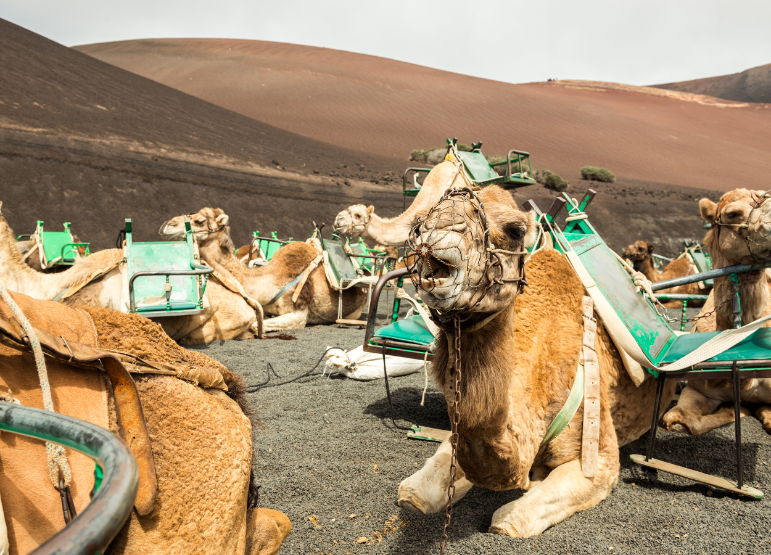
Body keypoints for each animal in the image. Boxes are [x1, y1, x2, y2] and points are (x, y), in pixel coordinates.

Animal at [159, 208, 367, 331]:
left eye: (200, 221)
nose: (167, 225)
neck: (267, 280)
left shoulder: (299, 312)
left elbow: (254, 325)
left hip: (355, 312)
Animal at [397, 185, 675, 537]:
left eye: (516, 230)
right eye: (419, 222)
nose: (437, 232)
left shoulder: (600, 455)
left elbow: (508, 521)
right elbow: (415, 491)